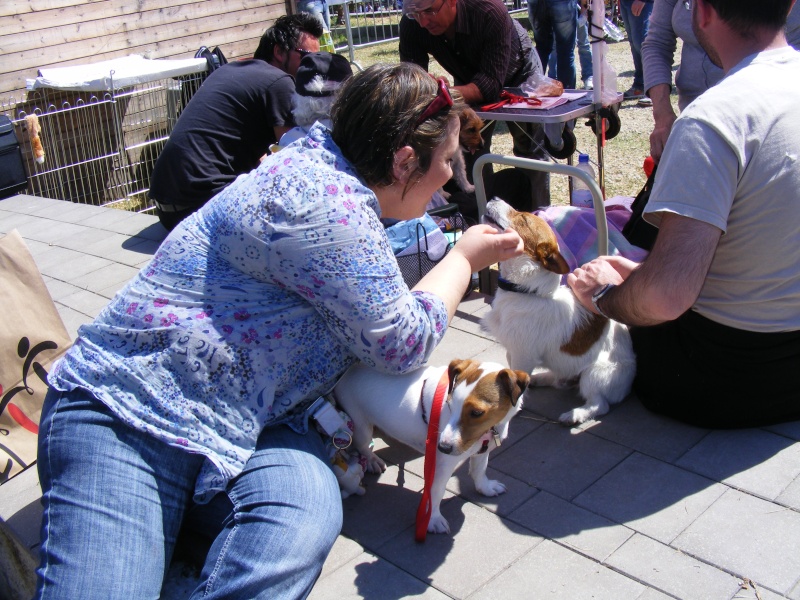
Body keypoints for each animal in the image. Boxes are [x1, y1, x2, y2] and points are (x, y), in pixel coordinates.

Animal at [332, 356, 528, 536]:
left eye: (477, 412)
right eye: (449, 404)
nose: (442, 447)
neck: (487, 432)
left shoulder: (482, 450)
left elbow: (479, 470)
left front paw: (485, 488)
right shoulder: (441, 466)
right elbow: (436, 493)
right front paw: (433, 520)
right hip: (361, 426)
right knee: (362, 446)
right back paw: (372, 460)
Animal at [482, 199, 636, 424]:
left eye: (524, 218)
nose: (493, 198)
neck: (526, 291)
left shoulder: (523, 354)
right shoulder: (513, 350)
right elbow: (512, 374)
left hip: (594, 374)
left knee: (600, 404)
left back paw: (574, 414)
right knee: (559, 380)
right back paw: (538, 379)